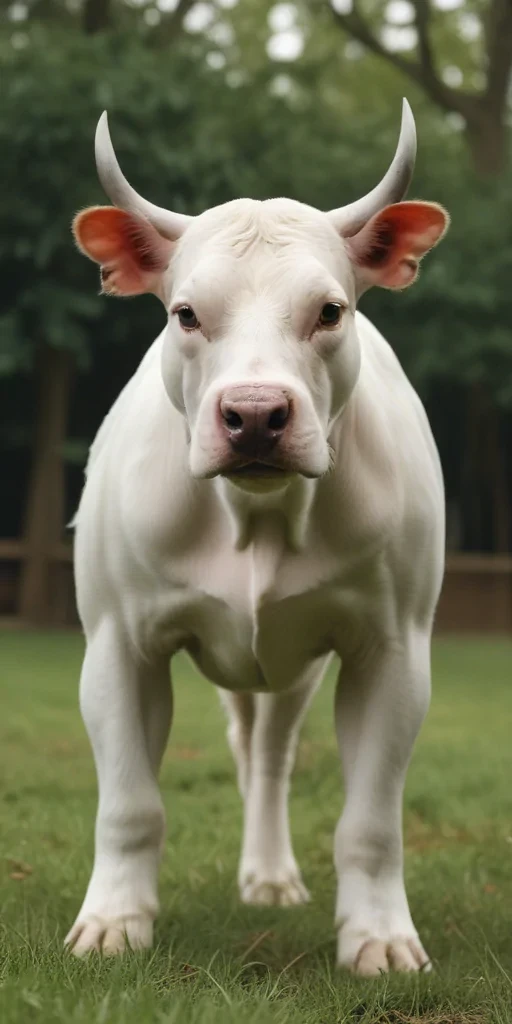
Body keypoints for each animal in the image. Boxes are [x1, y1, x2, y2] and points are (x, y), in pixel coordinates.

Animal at [66, 100, 449, 975]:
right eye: (186, 313)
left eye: (330, 311)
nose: (254, 415)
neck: (258, 516)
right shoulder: (117, 644)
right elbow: (129, 803)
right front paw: (114, 921)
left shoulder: (393, 650)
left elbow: (371, 821)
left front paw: (378, 935)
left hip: (293, 670)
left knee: (270, 760)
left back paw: (269, 876)